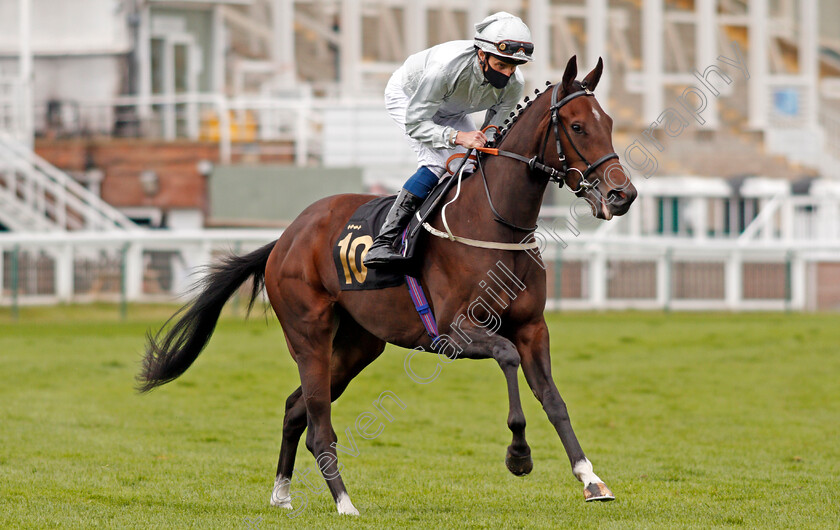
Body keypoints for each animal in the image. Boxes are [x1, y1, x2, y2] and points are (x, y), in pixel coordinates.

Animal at [138, 55, 636, 512]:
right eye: (576, 126)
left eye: (609, 123)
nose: (622, 195)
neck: (494, 223)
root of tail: (285, 238)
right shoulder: (454, 332)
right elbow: (507, 356)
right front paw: (519, 455)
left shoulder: (533, 327)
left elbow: (553, 399)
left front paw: (591, 480)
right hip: (309, 336)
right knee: (319, 424)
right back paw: (344, 503)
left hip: (358, 345)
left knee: (295, 409)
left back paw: (282, 495)